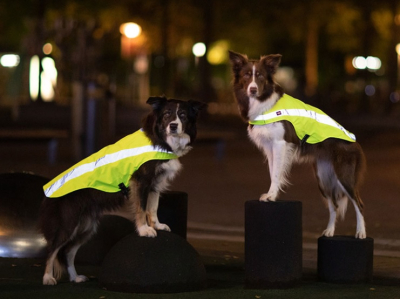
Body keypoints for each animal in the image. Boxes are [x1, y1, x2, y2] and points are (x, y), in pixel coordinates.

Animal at [38, 96, 205, 286]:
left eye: (182, 115)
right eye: (167, 114)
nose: (173, 126)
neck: (160, 139)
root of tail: (48, 194)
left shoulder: (155, 184)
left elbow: (152, 208)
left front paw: (157, 225)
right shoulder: (141, 181)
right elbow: (141, 208)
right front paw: (144, 230)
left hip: (86, 226)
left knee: (68, 251)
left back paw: (75, 277)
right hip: (68, 222)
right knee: (53, 249)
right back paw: (47, 277)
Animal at [230, 50, 368, 240]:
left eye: (260, 76)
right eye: (245, 75)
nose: (253, 89)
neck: (263, 102)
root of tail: (355, 141)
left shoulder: (280, 144)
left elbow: (276, 174)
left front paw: (271, 196)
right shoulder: (270, 147)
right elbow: (273, 172)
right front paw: (272, 195)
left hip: (344, 175)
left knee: (359, 203)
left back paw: (361, 232)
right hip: (323, 177)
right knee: (334, 205)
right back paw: (329, 232)